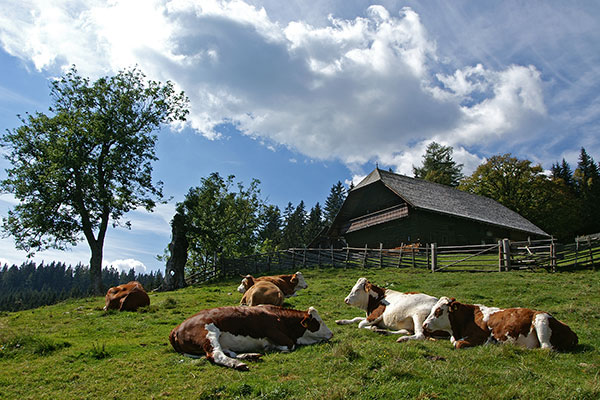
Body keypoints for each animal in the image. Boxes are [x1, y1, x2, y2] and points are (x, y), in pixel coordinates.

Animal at [169, 304, 332, 370]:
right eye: (318, 322)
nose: (331, 333)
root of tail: (176, 329)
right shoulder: (273, 331)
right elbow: (290, 345)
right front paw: (271, 347)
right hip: (209, 333)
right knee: (216, 354)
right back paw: (238, 364)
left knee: (228, 352)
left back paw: (249, 355)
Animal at [420, 296, 580, 350]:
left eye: (438, 311)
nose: (424, 325)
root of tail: (571, 330)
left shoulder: (480, 337)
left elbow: (457, 344)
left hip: (540, 319)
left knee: (546, 348)